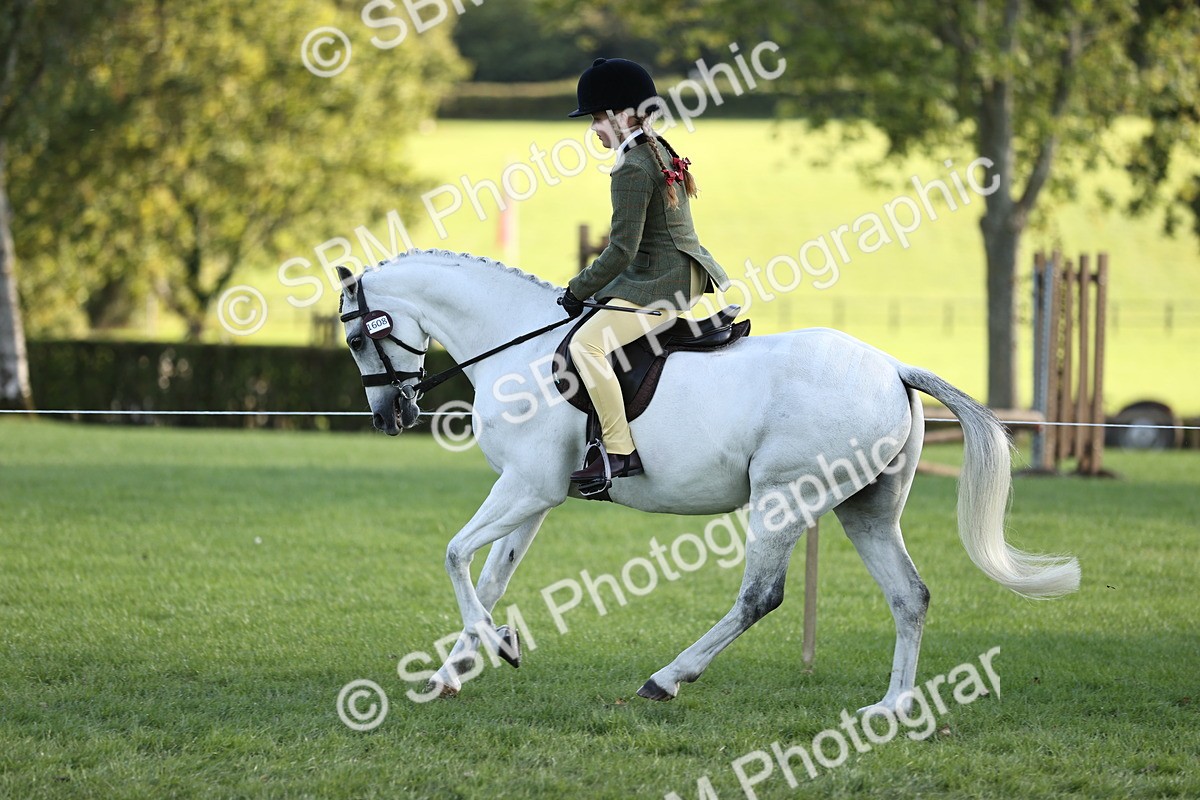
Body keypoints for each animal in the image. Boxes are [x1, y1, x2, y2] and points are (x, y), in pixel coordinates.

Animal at [335, 249, 1080, 714]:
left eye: (358, 337)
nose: (390, 417)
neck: (517, 348)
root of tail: (894, 367)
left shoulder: (526, 487)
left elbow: (455, 555)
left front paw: (495, 646)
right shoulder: (535, 495)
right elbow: (489, 577)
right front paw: (455, 671)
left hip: (785, 498)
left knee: (760, 596)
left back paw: (666, 679)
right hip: (866, 509)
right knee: (909, 596)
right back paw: (892, 706)